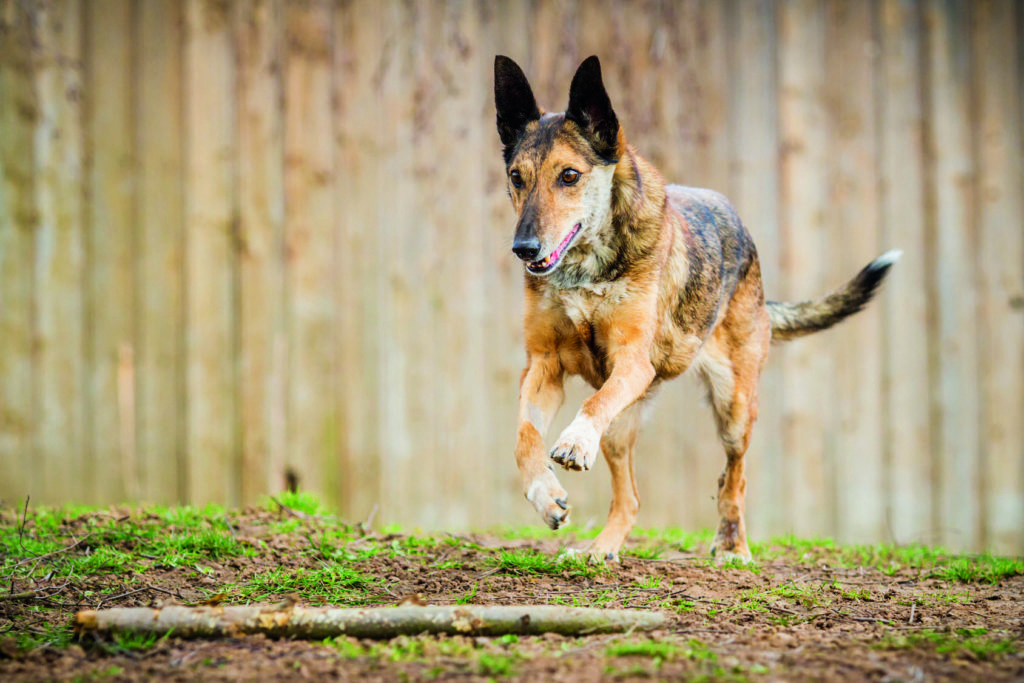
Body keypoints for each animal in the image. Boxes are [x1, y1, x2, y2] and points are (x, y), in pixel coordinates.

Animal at [491, 56, 901, 565]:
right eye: (516, 177)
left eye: (569, 175)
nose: (524, 249)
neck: (584, 270)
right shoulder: (544, 365)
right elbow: (524, 439)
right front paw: (546, 497)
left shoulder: (632, 362)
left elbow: (591, 403)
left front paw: (572, 442)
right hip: (623, 427)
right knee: (631, 497)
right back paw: (601, 549)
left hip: (734, 407)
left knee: (734, 477)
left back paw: (734, 548)